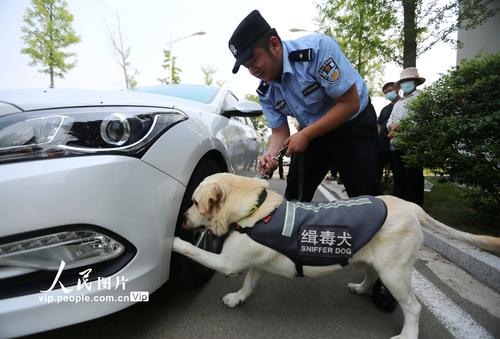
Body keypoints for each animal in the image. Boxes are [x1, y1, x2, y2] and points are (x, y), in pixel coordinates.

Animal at [173, 174, 500, 339]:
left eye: (194, 203)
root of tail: (411, 205)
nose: (182, 220)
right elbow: (249, 283)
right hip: (376, 260)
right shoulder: (254, 263)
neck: (255, 210)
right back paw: (361, 288)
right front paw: (237, 298)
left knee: (413, 307)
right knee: (371, 273)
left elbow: (194, 250)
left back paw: (407, 334)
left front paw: (173, 241)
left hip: (395, 272)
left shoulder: (228, 262)